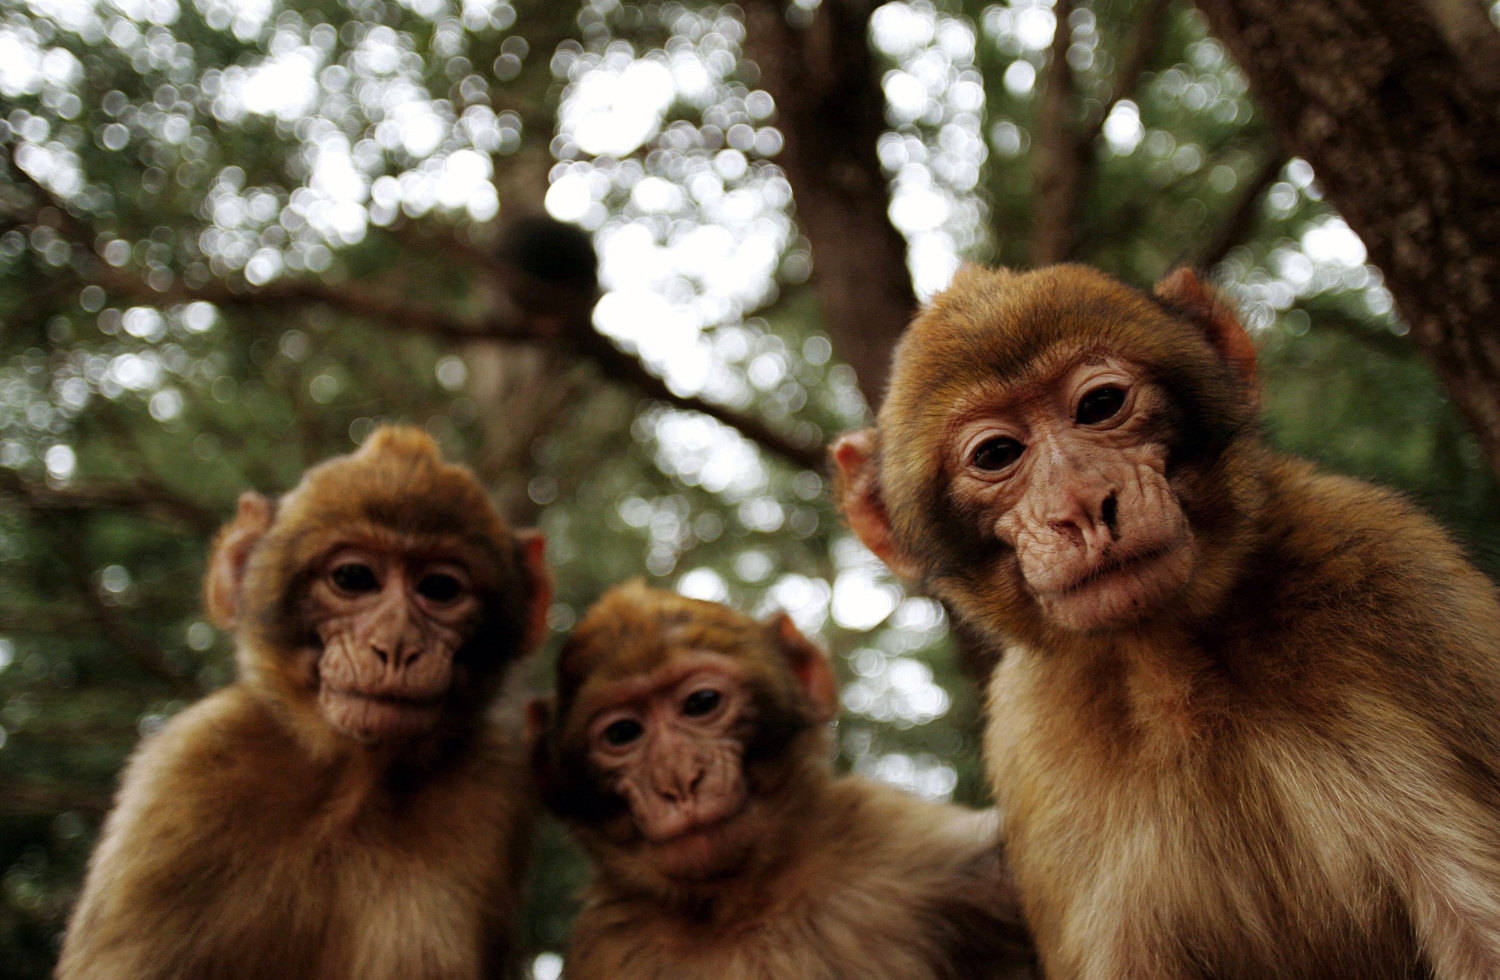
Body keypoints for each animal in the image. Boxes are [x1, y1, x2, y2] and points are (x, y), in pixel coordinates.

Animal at [58, 426, 555, 978]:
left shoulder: (491, 790)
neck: (353, 786)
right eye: (354, 578)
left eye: (440, 588)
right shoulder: (183, 782)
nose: (397, 645)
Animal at [531, 582, 1044, 978]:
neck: (744, 905)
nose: (678, 780)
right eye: (622, 734)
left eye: (701, 703)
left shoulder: (913, 848)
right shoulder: (608, 943)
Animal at [840, 261, 1500, 978]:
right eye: (995, 455)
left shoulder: (1396, 579)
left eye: (1100, 405)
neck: (1175, 666)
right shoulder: (1031, 737)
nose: (1082, 504)